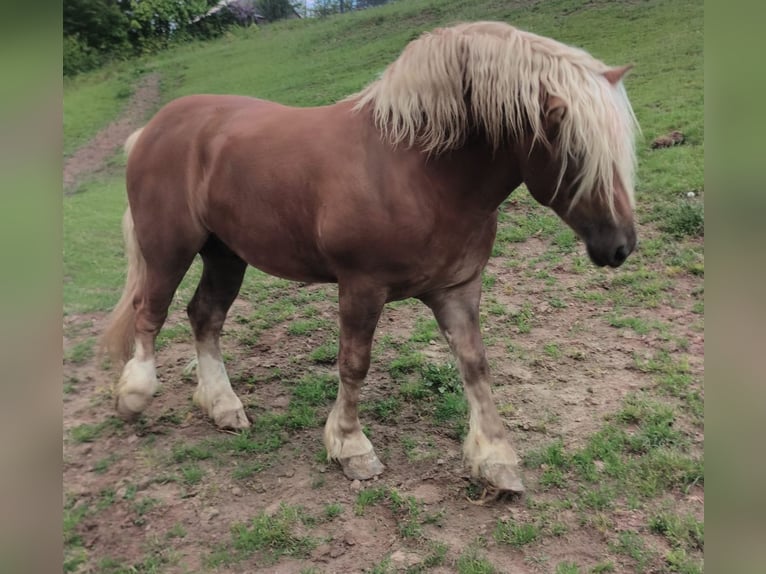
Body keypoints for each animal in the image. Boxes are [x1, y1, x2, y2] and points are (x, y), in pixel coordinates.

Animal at [102, 21, 639, 496]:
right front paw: (351, 447)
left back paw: (222, 406)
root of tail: (152, 128)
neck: (419, 170)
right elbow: (354, 364)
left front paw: (495, 459)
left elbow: (475, 366)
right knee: (150, 312)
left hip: (226, 254)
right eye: (575, 151)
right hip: (168, 247)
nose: (620, 246)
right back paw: (135, 395)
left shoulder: (457, 289)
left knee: (205, 317)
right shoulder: (361, 286)